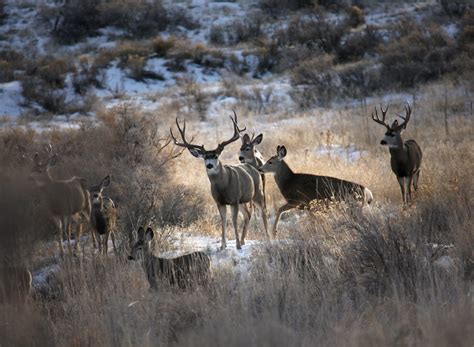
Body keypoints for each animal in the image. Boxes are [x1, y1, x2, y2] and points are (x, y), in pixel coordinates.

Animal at [170, 112, 268, 250]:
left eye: (216, 156)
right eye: (205, 157)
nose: (209, 165)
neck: (223, 187)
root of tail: (253, 166)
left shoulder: (234, 200)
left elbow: (234, 220)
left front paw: (237, 245)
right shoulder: (220, 202)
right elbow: (223, 221)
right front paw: (223, 246)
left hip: (258, 193)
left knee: (263, 210)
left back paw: (268, 238)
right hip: (243, 200)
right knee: (248, 214)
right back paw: (244, 240)